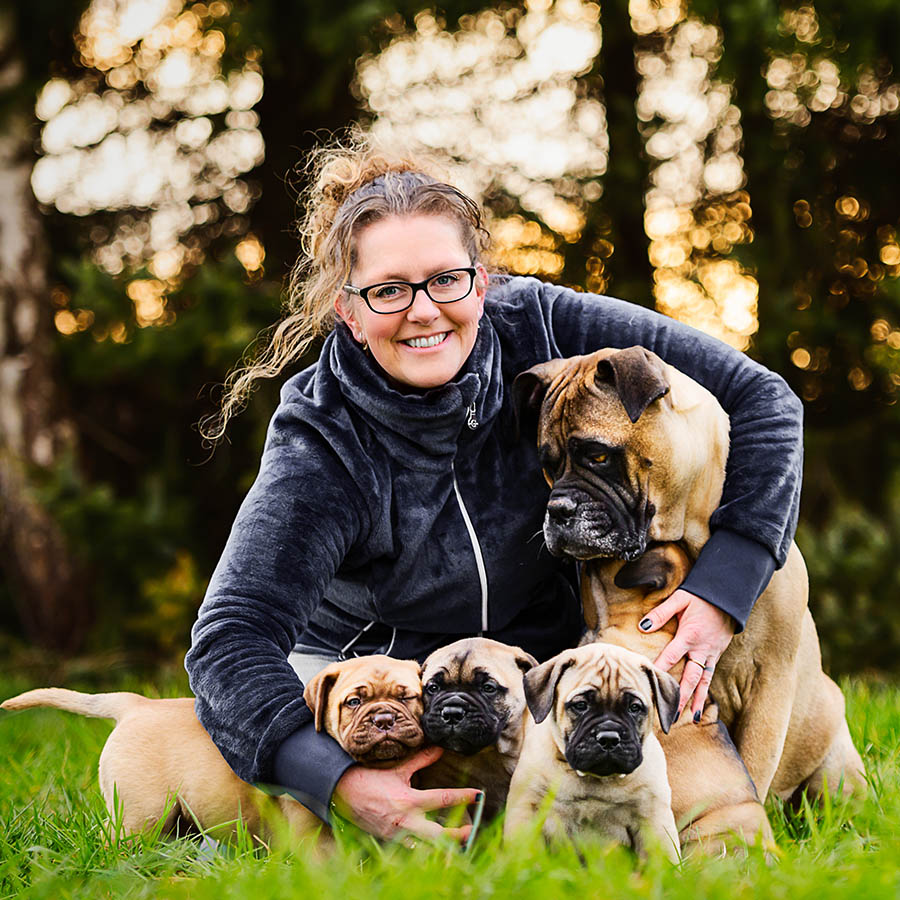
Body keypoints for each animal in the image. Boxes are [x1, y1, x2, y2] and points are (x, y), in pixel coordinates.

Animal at [1, 652, 424, 844]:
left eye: (409, 697)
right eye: (353, 702)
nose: (383, 719)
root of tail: (134, 704)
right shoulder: (308, 828)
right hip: (141, 812)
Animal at [502, 644, 680, 860]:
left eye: (634, 708)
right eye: (581, 705)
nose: (609, 738)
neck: (596, 779)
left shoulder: (653, 819)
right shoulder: (527, 809)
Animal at [516, 348, 868, 804]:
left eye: (598, 455)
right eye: (548, 465)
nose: (556, 510)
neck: (689, 534)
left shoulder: (769, 684)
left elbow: (751, 768)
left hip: (835, 769)